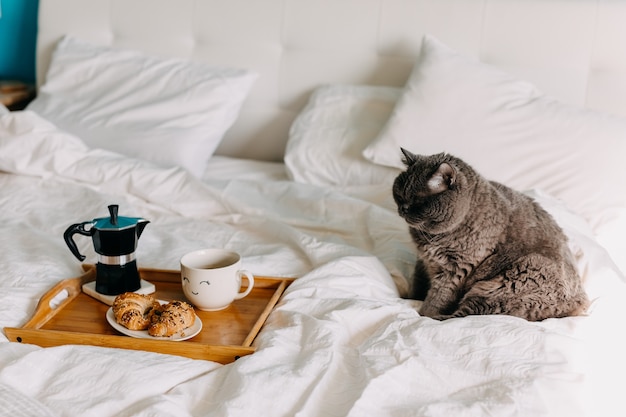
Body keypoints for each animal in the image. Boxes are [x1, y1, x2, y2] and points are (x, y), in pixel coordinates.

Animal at [392, 150, 588, 322]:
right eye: (399, 194)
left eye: (419, 201)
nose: (403, 209)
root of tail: (579, 303)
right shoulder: (423, 261)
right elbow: (418, 283)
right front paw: (409, 298)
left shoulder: (454, 269)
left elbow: (437, 296)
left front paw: (424, 314)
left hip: (505, 283)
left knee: (467, 314)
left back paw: (438, 318)